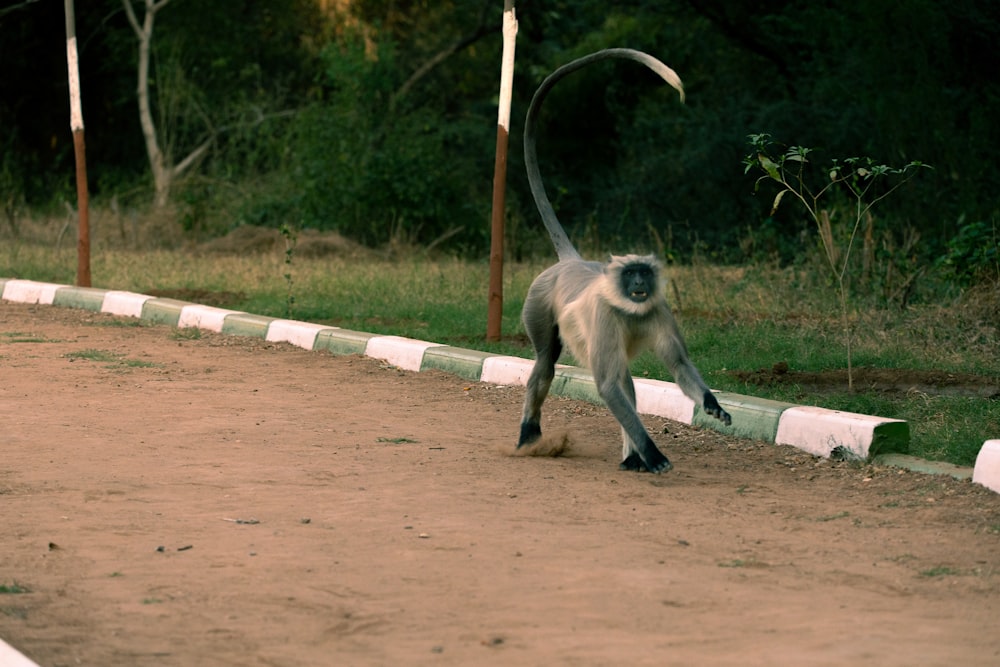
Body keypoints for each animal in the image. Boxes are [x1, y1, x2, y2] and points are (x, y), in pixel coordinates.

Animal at [520, 48, 732, 474]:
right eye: (631, 273)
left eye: (644, 274)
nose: (638, 285)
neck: (627, 306)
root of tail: (571, 263)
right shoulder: (605, 314)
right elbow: (605, 384)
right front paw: (653, 453)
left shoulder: (658, 308)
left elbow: (678, 364)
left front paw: (711, 404)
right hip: (537, 301)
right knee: (548, 362)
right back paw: (530, 434)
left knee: (626, 381)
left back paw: (630, 458)